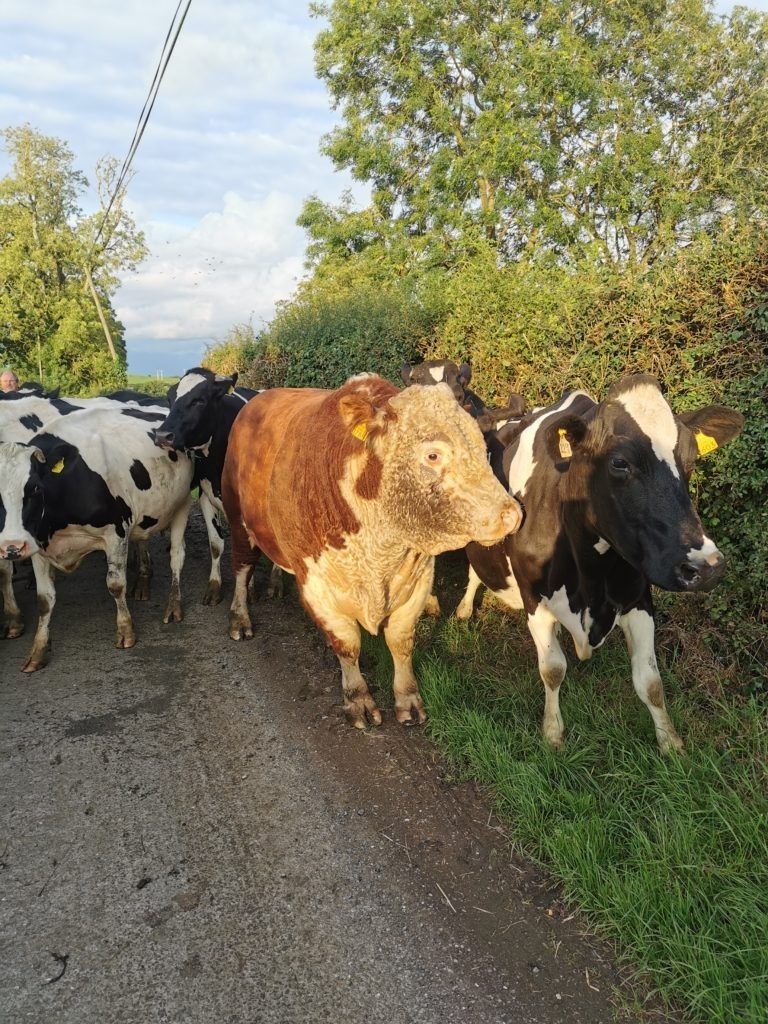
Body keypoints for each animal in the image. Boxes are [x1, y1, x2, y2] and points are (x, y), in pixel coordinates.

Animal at [0, 407, 193, 671]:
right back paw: (143, 582)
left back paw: (173, 605)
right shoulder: (38, 545)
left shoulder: (116, 532)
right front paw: (37, 651)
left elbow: (115, 584)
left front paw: (125, 631)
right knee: (143, 539)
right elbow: (44, 600)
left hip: (181, 505)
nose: (11, 547)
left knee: (176, 556)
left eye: (36, 488)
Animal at [151, 368, 268, 606]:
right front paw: (214, 586)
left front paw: (249, 590)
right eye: (169, 397)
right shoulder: (206, 496)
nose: (162, 436)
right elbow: (216, 544)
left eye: (199, 400)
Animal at [222, 372, 524, 724]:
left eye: (482, 447)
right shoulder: (317, 585)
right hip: (237, 516)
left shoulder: (418, 577)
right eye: (432, 455)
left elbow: (401, 640)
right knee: (241, 567)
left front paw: (408, 699)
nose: (510, 514)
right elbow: (347, 643)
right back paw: (240, 618)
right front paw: (358, 699)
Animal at [456, 376, 745, 753]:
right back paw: (463, 608)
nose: (707, 566)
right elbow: (552, 669)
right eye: (619, 463)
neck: (590, 582)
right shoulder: (535, 599)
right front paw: (553, 733)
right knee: (474, 568)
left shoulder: (638, 599)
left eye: (691, 456)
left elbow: (650, 681)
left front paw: (670, 743)